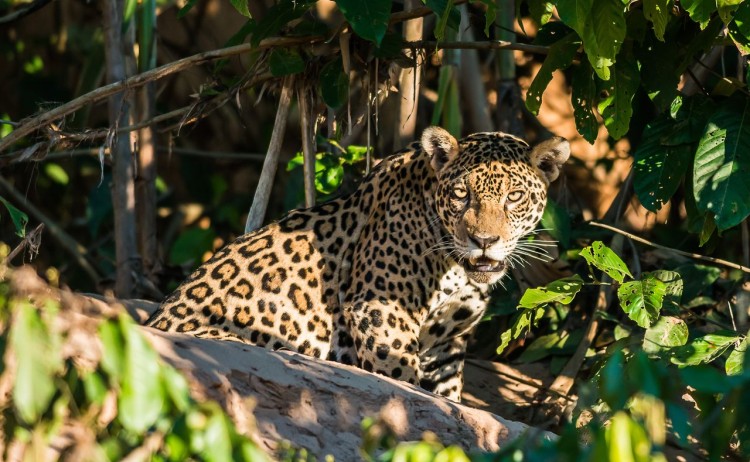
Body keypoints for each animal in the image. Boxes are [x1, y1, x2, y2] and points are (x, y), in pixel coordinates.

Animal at [146, 127, 569, 402]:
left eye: (514, 197)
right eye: (461, 195)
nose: (483, 242)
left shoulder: (447, 343)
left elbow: (448, 399)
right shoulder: (380, 309)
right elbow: (401, 379)